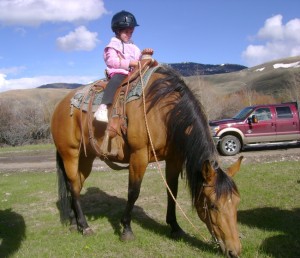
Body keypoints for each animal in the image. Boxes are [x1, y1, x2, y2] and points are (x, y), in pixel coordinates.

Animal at [51, 61, 244, 258]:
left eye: (236, 202)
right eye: (213, 205)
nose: (234, 251)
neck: (162, 112)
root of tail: (60, 106)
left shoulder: (174, 159)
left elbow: (172, 191)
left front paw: (175, 227)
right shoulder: (139, 155)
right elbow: (133, 192)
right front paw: (126, 229)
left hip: (86, 158)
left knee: (75, 185)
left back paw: (74, 223)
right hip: (70, 154)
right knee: (73, 186)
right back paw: (85, 226)